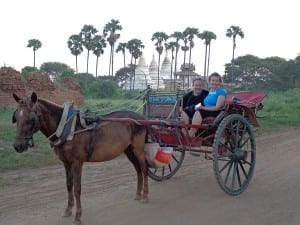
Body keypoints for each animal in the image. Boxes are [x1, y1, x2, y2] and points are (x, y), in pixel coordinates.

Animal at [12, 92, 149, 225]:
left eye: (31, 118)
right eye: (16, 117)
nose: (18, 146)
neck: (68, 128)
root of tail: (142, 118)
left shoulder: (77, 162)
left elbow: (77, 188)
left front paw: (78, 216)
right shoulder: (66, 163)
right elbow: (69, 185)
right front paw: (68, 210)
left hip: (138, 149)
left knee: (144, 169)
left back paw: (145, 195)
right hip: (129, 150)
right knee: (138, 170)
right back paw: (138, 194)